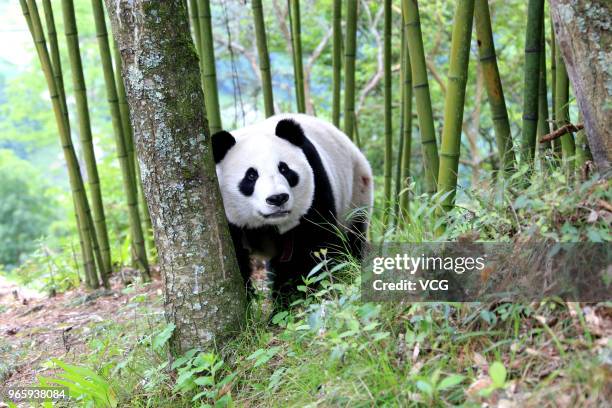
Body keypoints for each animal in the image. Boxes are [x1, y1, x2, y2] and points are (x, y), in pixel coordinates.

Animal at [210, 112, 372, 306]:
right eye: (251, 175)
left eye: (284, 169)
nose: (277, 198)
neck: (267, 224)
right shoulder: (227, 218)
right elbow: (235, 258)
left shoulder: (315, 187)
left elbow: (310, 250)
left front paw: (293, 302)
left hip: (356, 194)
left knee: (351, 239)